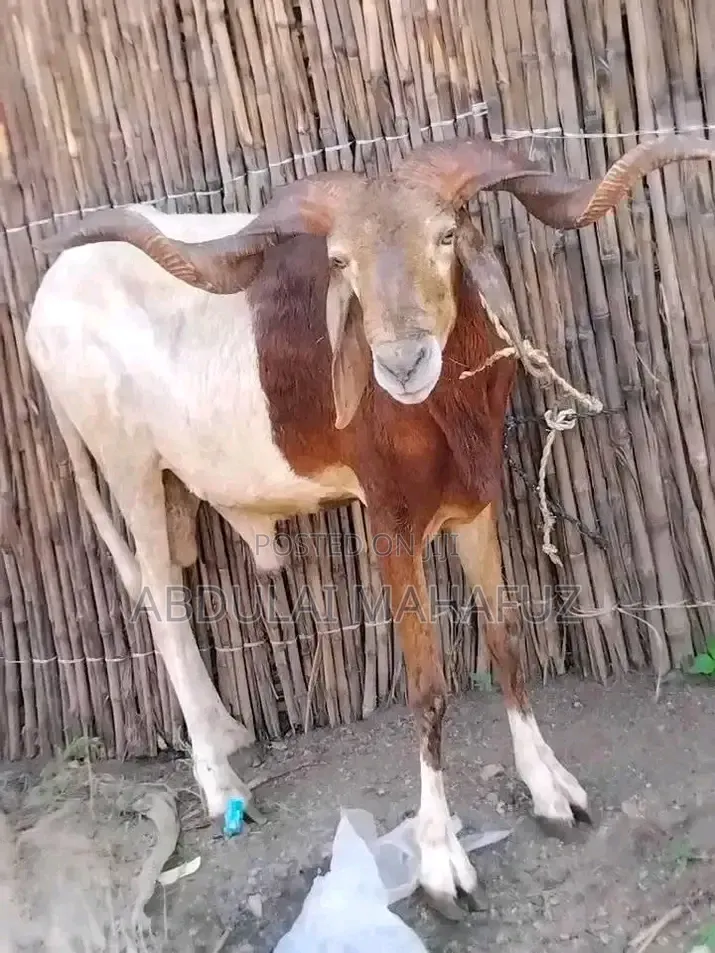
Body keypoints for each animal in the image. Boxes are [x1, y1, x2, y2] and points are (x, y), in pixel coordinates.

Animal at [26, 133, 715, 919]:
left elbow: (506, 644)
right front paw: (441, 863)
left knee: (166, 584)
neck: (440, 413)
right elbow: (427, 687)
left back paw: (228, 734)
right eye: (340, 262)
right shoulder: (390, 523)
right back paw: (221, 783)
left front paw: (550, 789)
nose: (403, 362)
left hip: (172, 483)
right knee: (161, 609)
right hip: (126, 463)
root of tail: (42, 307)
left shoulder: (476, 505)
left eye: (445, 235)